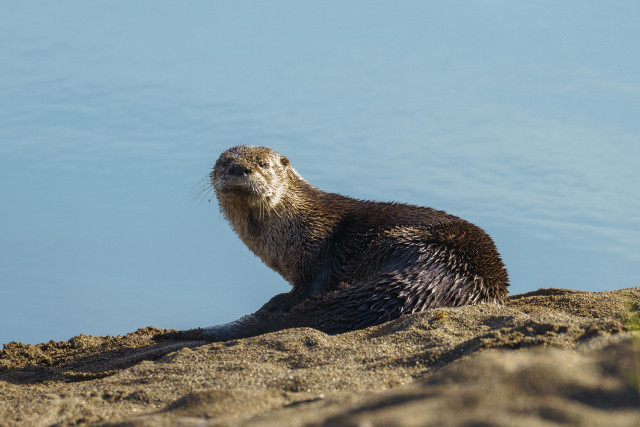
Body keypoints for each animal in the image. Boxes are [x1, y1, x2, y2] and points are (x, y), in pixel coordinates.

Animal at [172, 147, 508, 342]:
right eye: (224, 162)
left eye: (263, 163)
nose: (238, 169)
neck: (297, 226)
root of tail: (452, 274)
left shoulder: (322, 255)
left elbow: (314, 283)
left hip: (400, 240)